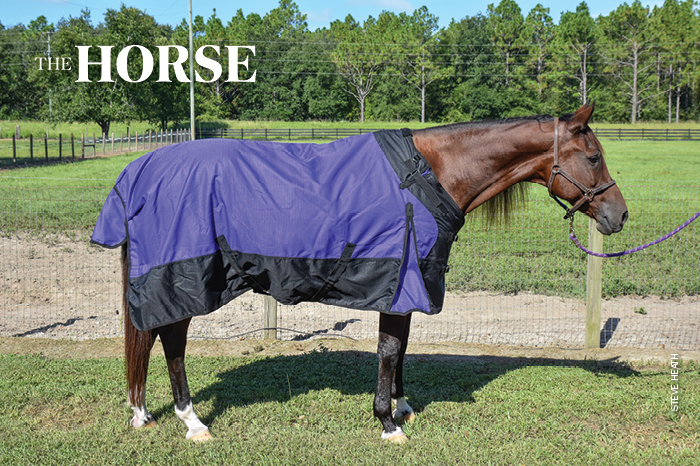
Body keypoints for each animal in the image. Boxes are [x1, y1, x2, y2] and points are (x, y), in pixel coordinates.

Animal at [101, 102, 627, 443]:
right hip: (180, 279)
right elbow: (390, 349)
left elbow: (403, 347)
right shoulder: (400, 281)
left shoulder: (406, 286)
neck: (428, 174)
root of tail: (137, 172)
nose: (619, 216)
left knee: (156, 340)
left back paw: (147, 413)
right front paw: (387, 422)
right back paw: (191, 421)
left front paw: (403, 407)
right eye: (594, 156)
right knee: (170, 340)